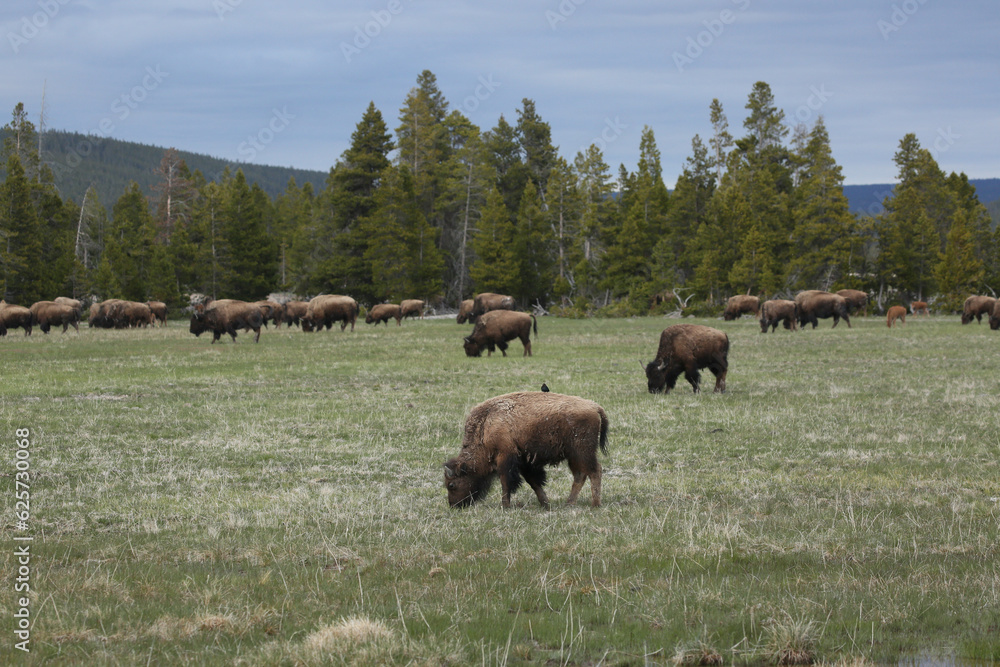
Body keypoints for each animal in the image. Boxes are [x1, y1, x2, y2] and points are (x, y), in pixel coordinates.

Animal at [442, 392, 604, 512]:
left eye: (452, 485)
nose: (454, 506)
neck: (486, 425)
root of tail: (595, 407)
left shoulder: (505, 458)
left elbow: (506, 482)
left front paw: (505, 506)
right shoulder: (524, 462)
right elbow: (533, 482)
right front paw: (545, 504)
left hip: (583, 452)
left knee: (595, 471)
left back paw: (595, 504)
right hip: (574, 456)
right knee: (580, 475)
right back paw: (569, 503)